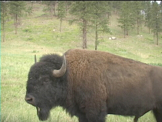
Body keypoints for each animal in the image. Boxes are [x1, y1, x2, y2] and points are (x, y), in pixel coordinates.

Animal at [25, 48, 162, 122]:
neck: (69, 75)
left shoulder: (95, 113)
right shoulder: (82, 114)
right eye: (29, 76)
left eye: (46, 80)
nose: (28, 99)